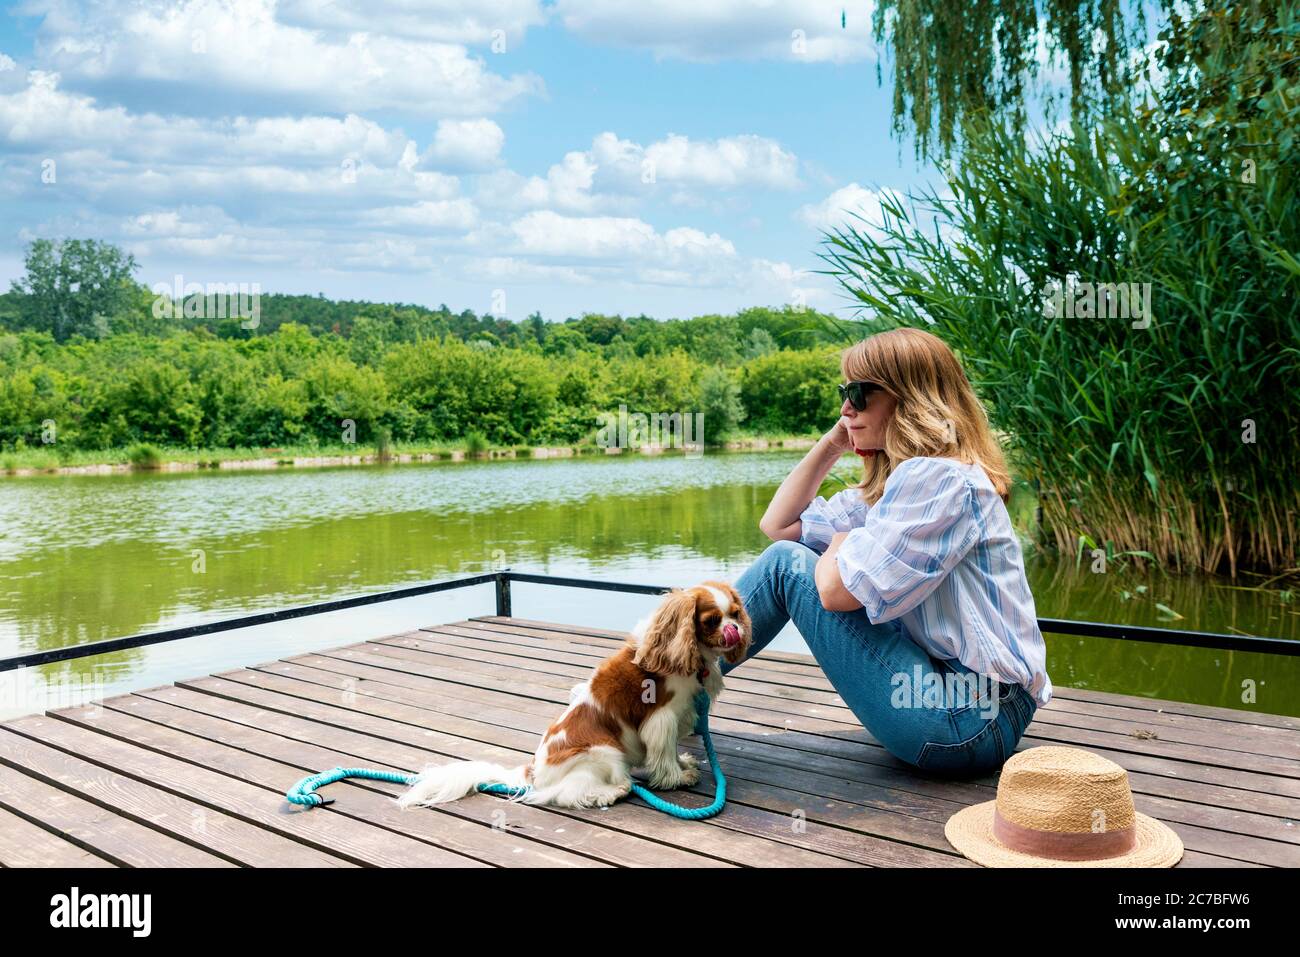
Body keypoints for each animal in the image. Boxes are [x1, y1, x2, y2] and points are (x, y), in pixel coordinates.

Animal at [395, 579, 754, 811]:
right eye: (711, 621)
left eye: (736, 614)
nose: (734, 630)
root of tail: (533, 772)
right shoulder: (662, 718)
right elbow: (663, 755)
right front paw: (676, 778)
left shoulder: (681, 713)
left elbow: (671, 751)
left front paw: (683, 765)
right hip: (605, 752)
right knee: (568, 794)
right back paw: (611, 792)